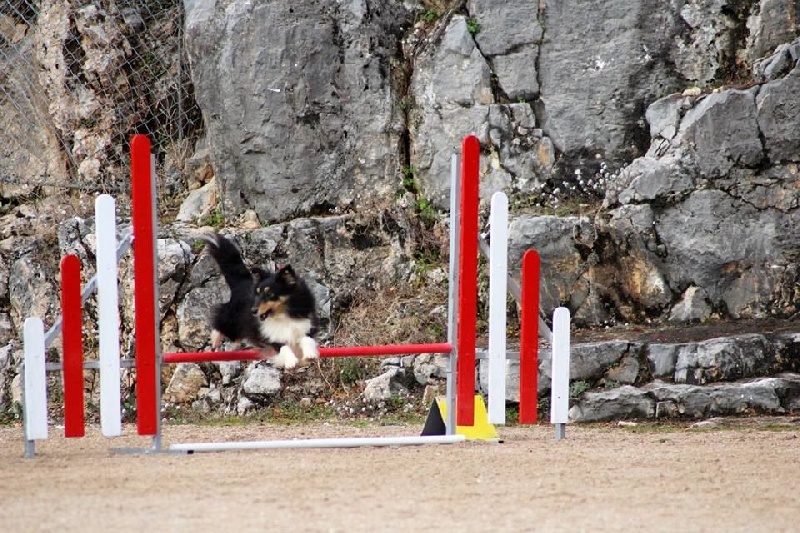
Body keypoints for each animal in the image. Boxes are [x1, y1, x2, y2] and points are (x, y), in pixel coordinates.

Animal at [200, 231, 318, 368]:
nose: (253, 311)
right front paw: (290, 362)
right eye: (257, 293)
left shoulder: (305, 325)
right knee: (220, 319)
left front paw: (309, 355)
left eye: (269, 294)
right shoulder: (272, 337)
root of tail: (243, 281)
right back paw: (216, 340)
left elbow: (306, 338)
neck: (282, 316)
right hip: (232, 320)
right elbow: (283, 346)